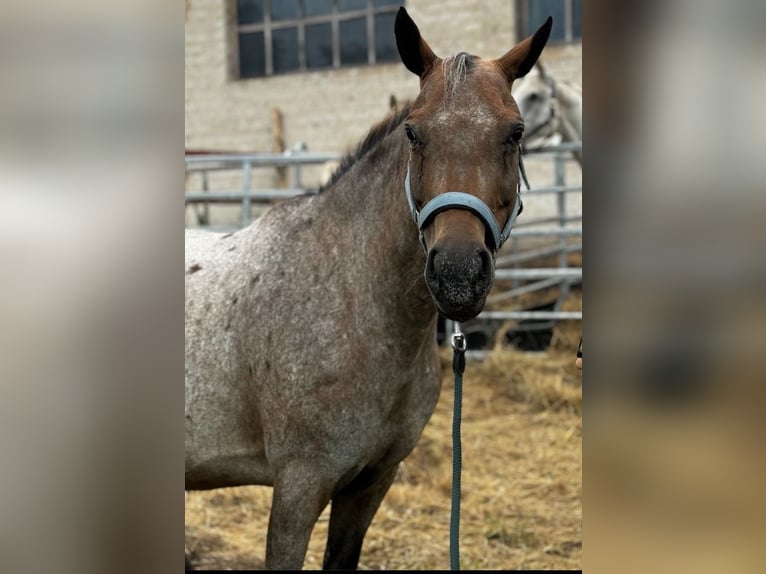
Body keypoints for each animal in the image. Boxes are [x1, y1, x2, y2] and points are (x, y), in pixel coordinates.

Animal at [184, 7, 552, 572]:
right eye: (413, 133)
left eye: (514, 133)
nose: (458, 274)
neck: (352, 299)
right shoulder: (299, 486)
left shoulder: (372, 482)